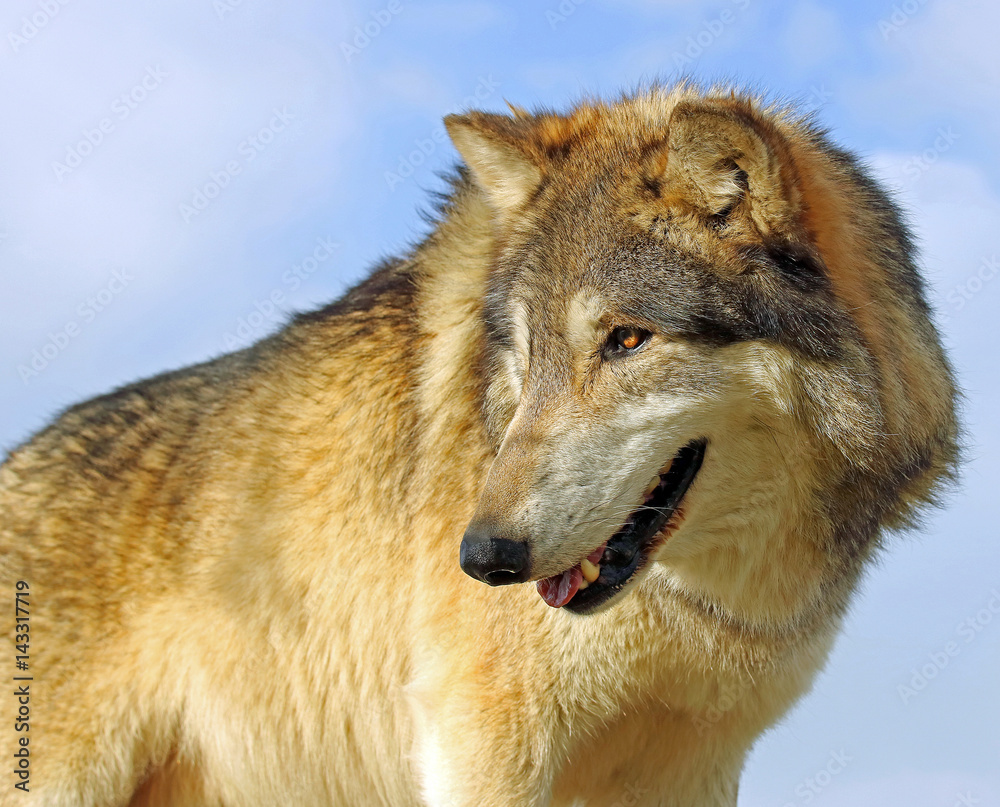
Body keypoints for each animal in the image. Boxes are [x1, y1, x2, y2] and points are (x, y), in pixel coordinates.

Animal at [0, 83, 958, 806]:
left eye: (627, 339)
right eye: (526, 355)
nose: (484, 556)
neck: (692, 604)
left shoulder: (695, 766)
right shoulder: (482, 742)